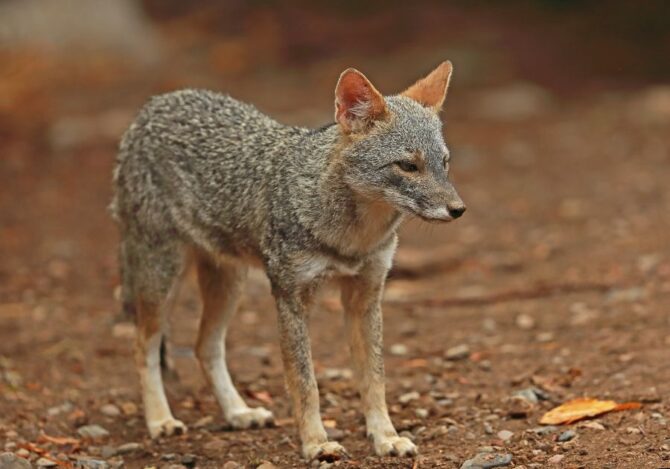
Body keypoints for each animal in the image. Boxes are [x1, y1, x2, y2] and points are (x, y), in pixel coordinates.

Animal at [111, 60, 465, 462]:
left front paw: (386, 436)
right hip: (162, 279)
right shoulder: (291, 299)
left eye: (444, 163)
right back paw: (160, 420)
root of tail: (156, 104)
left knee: (205, 346)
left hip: (229, 283)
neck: (351, 238)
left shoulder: (365, 298)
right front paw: (316, 442)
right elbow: (305, 382)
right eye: (407, 166)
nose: (458, 210)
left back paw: (238, 413)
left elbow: (374, 378)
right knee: (143, 345)